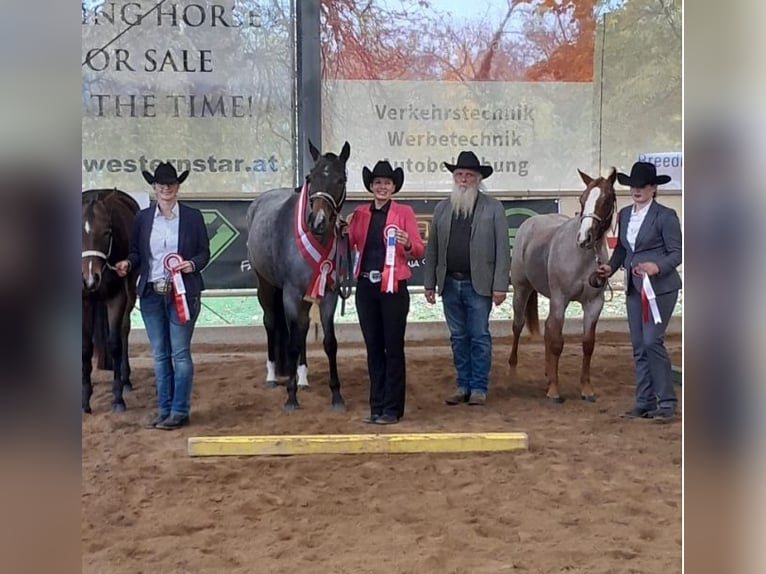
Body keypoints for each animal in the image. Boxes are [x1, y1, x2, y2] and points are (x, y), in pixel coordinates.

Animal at [82, 188, 139, 413]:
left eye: (107, 232)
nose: (90, 279)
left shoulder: (117, 297)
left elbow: (114, 343)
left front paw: (117, 398)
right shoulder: (84, 300)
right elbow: (85, 348)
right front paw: (85, 399)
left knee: (124, 329)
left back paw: (126, 379)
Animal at [246, 140, 351, 411]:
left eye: (341, 179)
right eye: (311, 178)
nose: (318, 221)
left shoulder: (328, 294)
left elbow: (329, 343)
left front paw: (337, 395)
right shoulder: (290, 294)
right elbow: (292, 343)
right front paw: (291, 397)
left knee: (302, 327)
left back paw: (303, 378)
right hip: (266, 286)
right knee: (272, 323)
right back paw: (273, 376)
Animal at [508, 168, 617, 403]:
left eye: (606, 200)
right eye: (582, 199)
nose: (584, 238)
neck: (582, 257)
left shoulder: (594, 304)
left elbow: (588, 344)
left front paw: (586, 389)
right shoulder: (560, 299)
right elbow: (558, 343)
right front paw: (554, 391)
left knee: (548, 330)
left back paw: (548, 374)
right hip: (521, 290)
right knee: (518, 326)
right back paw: (513, 372)